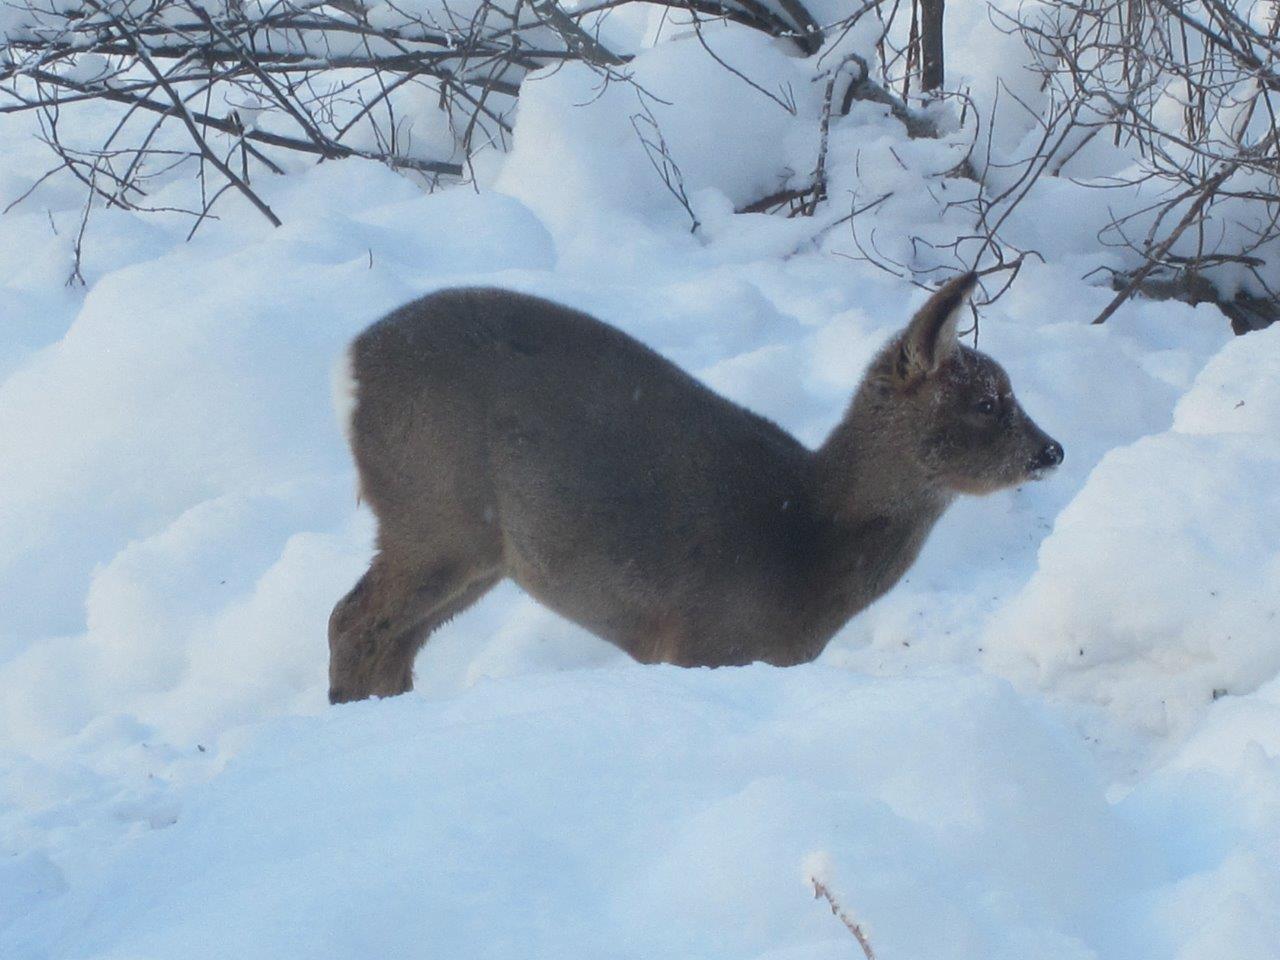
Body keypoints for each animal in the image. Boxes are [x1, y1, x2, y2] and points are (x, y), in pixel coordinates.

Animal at [327, 272, 1062, 703]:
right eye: (989, 403)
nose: (1052, 449)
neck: (808, 537)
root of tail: (351, 360)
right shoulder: (706, 644)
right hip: (436, 516)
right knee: (351, 620)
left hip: (480, 553)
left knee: (392, 640)